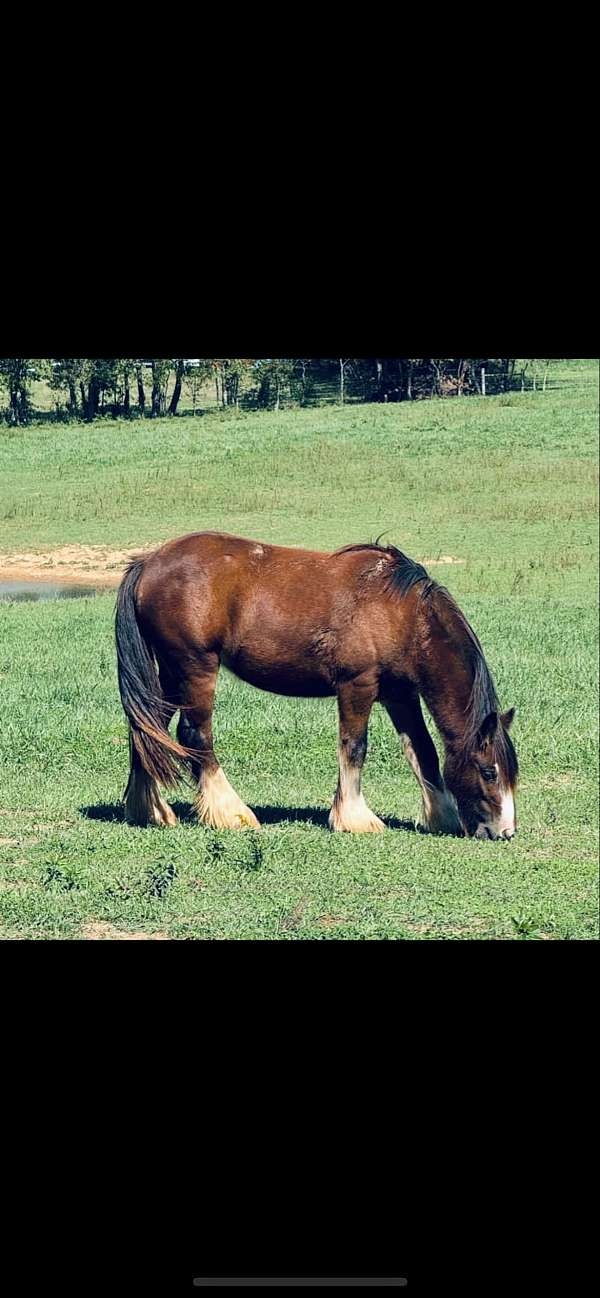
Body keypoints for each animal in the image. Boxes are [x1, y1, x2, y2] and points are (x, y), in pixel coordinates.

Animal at [114, 532, 516, 835]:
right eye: (488, 772)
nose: (505, 832)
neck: (400, 612)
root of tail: (149, 562)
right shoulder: (357, 687)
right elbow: (354, 747)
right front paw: (355, 818)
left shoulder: (400, 695)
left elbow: (423, 752)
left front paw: (441, 816)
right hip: (196, 667)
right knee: (195, 735)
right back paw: (230, 813)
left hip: (170, 673)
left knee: (147, 729)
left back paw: (151, 811)